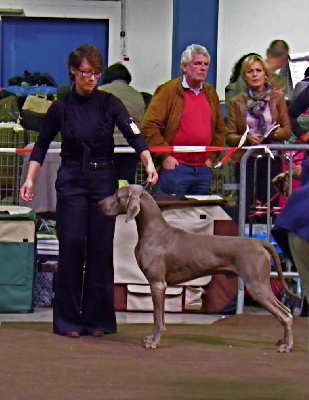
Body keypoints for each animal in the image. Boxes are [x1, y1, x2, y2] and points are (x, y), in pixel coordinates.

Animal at [99, 185, 300, 354]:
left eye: (116, 195)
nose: (100, 203)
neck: (154, 231)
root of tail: (259, 243)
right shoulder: (160, 285)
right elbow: (160, 317)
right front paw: (151, 338)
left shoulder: (157, 284)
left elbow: (157, 318)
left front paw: (154, 342)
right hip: (262, 285)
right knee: (287, 311)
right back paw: (283, 340)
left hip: (257, 285)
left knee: (285, 315)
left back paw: (287, 346)